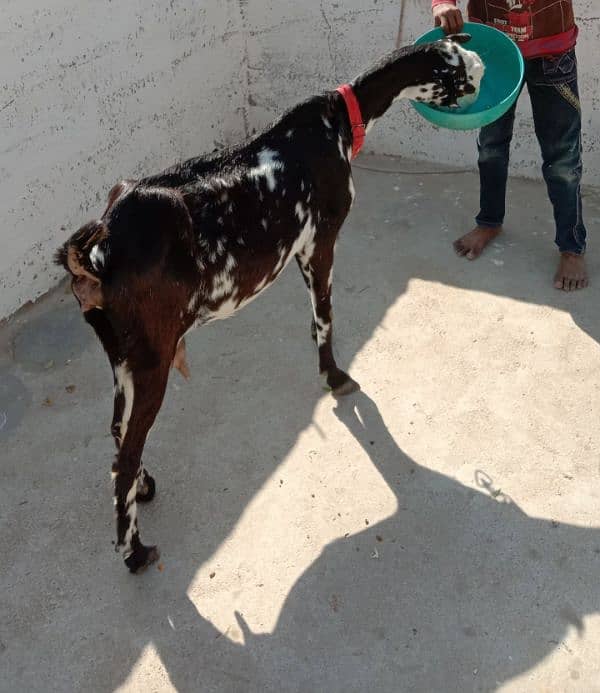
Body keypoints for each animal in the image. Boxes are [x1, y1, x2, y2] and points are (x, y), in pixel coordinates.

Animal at [55, 35, 482, 572]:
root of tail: (99, 249)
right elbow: (325, 315)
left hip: (121, 355)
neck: (337, 120)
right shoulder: (321, 241)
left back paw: (144, 488)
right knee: (127, 451)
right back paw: (134, 552)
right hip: (151, 358)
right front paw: (334, 377)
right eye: (461, 68)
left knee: (118, 433)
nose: (484, 76)